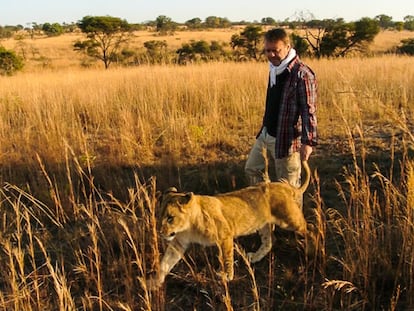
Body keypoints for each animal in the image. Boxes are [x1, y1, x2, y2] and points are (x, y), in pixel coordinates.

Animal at [147, 162, 312, 288]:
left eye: (170, 218)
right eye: (160, 216)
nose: (160, 232)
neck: (189, 225)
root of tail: (286, 186)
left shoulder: (225, 236)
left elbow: (227, 258)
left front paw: (227, 276)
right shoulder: (178, 242)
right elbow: (165, 262)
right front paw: (154, 282)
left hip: (289, 220)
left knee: (308, 227)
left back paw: (312, 246)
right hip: (264, 224)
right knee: (270, 241)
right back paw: (255, 257)